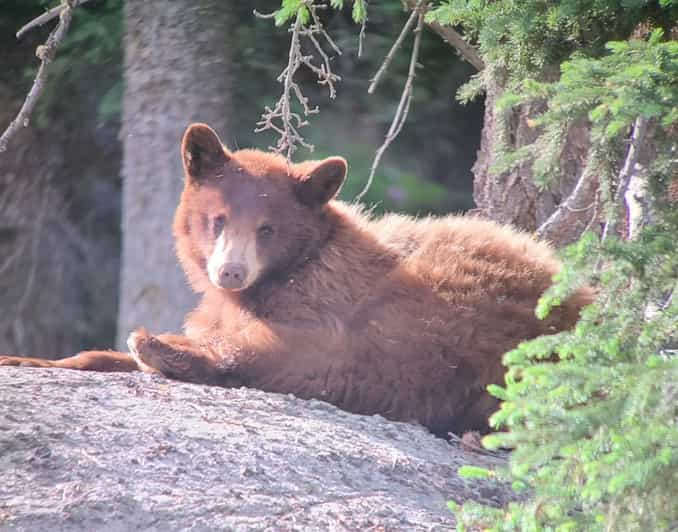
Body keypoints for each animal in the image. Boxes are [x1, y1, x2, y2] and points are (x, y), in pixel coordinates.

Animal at [0, 123, 592, 436]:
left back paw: (160, 349)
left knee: (370, 367)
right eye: (218, 219)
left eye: (268, 228)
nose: (230, 271)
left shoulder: (327, 299)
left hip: (461, 300)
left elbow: (312, 356)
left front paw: (162, 347)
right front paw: (33, 358)